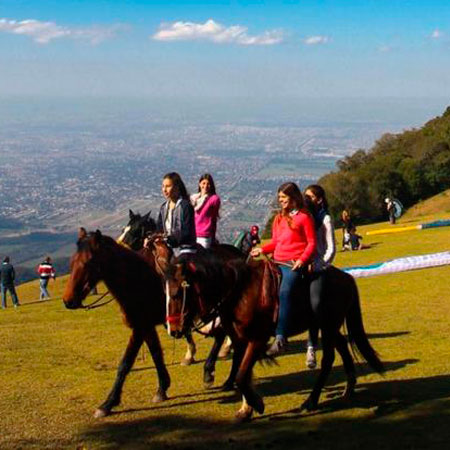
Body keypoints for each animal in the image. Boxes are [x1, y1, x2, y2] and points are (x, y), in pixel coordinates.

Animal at [62, 229, 170, 418]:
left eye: (88, 262)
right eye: (72, 262)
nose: (68, 301)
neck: (140, 280)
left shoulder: (140, 327)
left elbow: (125, 364)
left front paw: (108, 404)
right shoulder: (147, 326)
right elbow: (156, 353)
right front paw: (162, 389)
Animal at [164, 253, 384, 422]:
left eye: (176, 294)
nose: (173, 330)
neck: (239, 293)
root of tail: (346, 277)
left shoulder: (257, 339)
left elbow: (241, 376)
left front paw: (257, 404)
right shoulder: (240, 340)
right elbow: (242, 372)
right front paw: (246, 409)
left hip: (328, 325)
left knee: (329, 358)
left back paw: (311, 401)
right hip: (329, 325)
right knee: (343, 346)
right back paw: (349, 388)